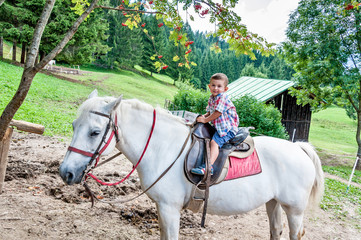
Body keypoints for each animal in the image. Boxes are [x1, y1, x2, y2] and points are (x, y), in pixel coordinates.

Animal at [59, 90, 324, 240]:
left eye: (94, 132)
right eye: (73, 126)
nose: (66, 173)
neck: (162, 148)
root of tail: (299, 148)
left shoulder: (170, 209)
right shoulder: (162, 208)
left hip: (294, 210)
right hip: (274, 203)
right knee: (275, 231)